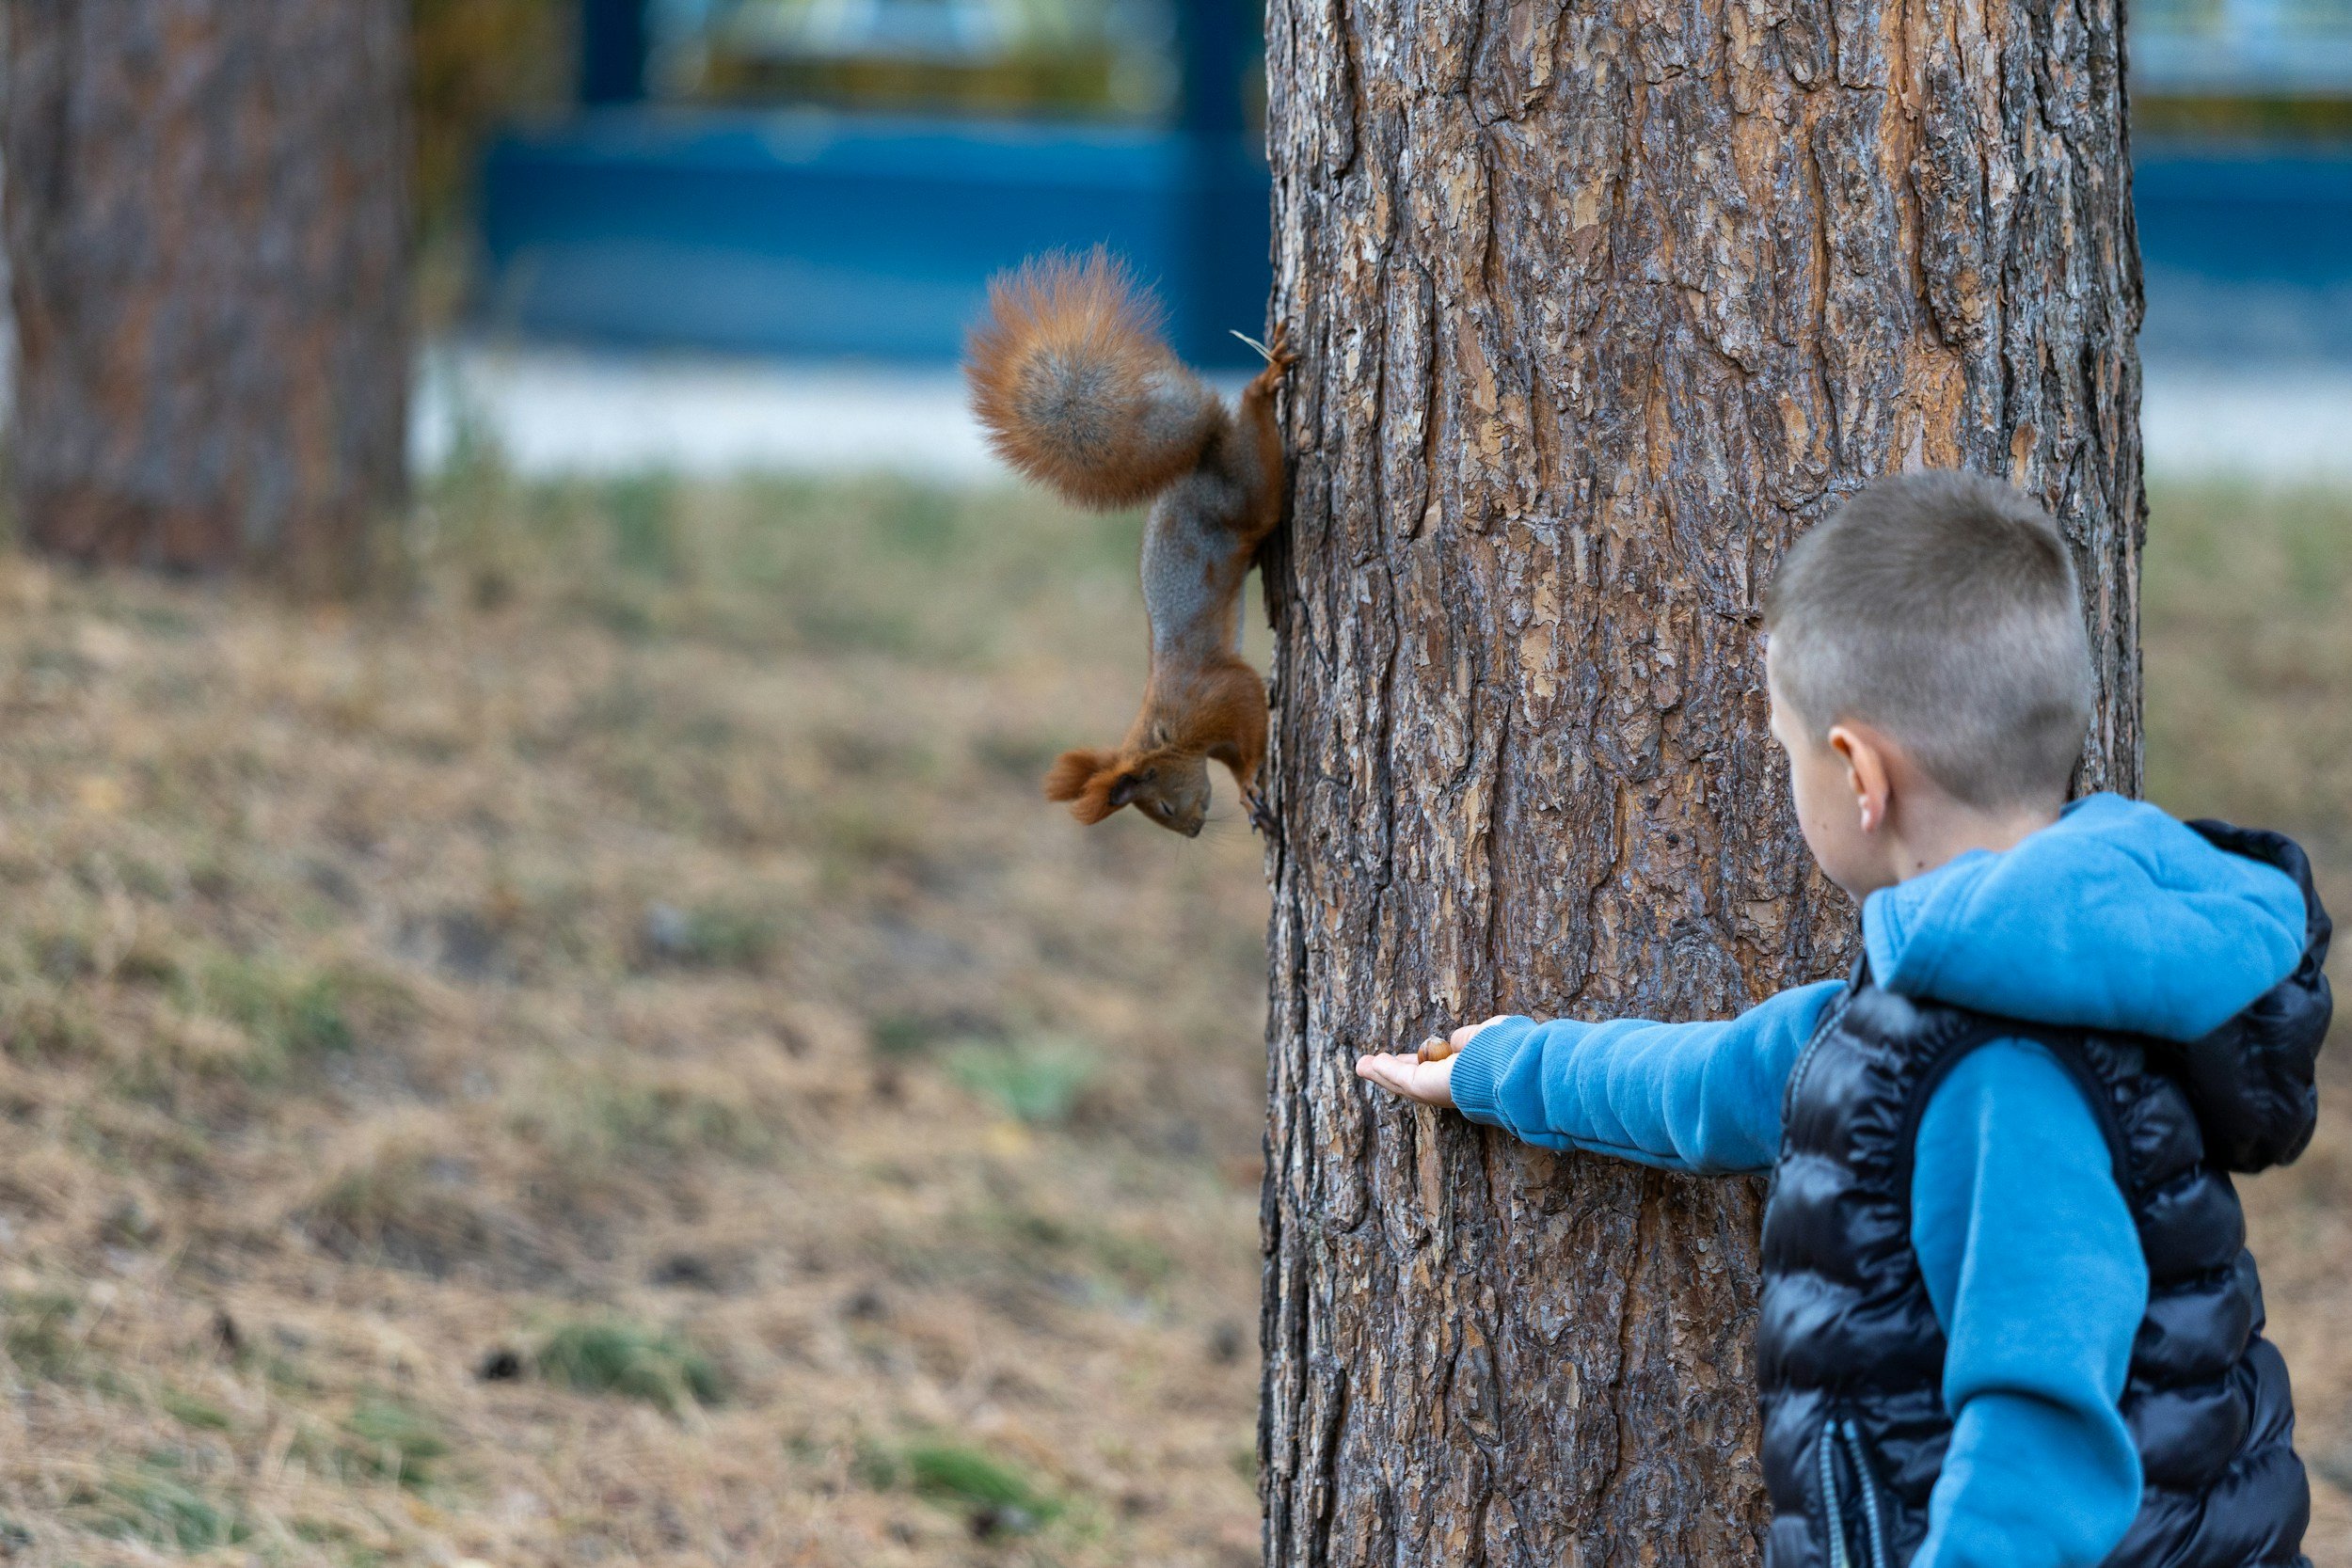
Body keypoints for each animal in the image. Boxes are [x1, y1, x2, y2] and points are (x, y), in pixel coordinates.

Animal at [966, 249, 1295, 837]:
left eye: (1159, 804)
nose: (1192, 831)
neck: (1167, 731)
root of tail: (1202, 455)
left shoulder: (1222, 694)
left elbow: (1250, 717)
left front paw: (1251, 784)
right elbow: (1240, 753)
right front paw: (1246, 792)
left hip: (1250, 492)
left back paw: (1265, 380)